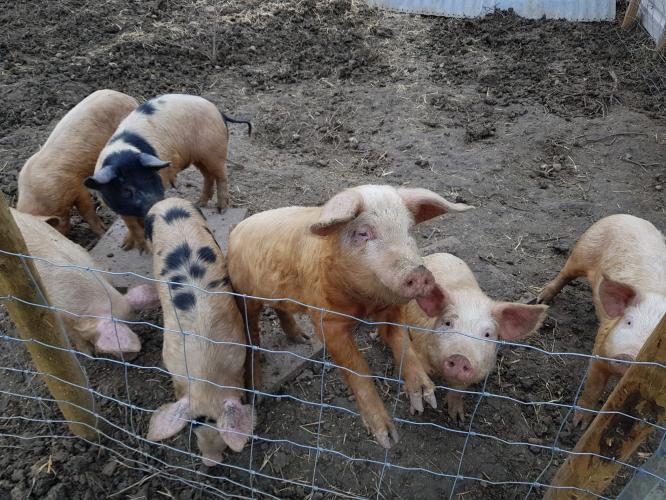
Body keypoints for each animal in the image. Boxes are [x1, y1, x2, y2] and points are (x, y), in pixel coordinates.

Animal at [83, 94, 252, 253]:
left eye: (151, 178)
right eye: (126, 190)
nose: (157, 203)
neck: (122, 154)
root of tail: (218, 111)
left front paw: (145, 248)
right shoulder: (117, 206)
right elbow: (131, 224)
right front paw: (126, 246)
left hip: (214, 151)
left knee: (221, 176)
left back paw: (222, 209)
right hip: (199, 157)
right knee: (208, 176)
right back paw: (200, 203)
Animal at [227, 185, 473, 448]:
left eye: (408, 229)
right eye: (363, 233)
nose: (419, 273)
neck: (364, 305)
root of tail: (237, 230)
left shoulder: (391, 310)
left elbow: (403, 344)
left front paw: (425, 400)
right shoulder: (327, 321)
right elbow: (358, 368)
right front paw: (387, 438)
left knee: (282, 310)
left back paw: (302, 339)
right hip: (244, 296)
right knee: (252, 338)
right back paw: (258, 394)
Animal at [380, 253, 548, 421]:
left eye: (487, 334)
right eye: (448, 323)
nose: (460, 357)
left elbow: (458, 391)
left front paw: (457, 418)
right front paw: (416, 410)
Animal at [537, 214, 666, 428]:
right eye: (628, 322)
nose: (628, 356)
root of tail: (630, 217)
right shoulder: (601, 350)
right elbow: (593, 387)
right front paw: (579, 425)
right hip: (583, 250)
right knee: (565, 274)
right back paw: (540, 300)